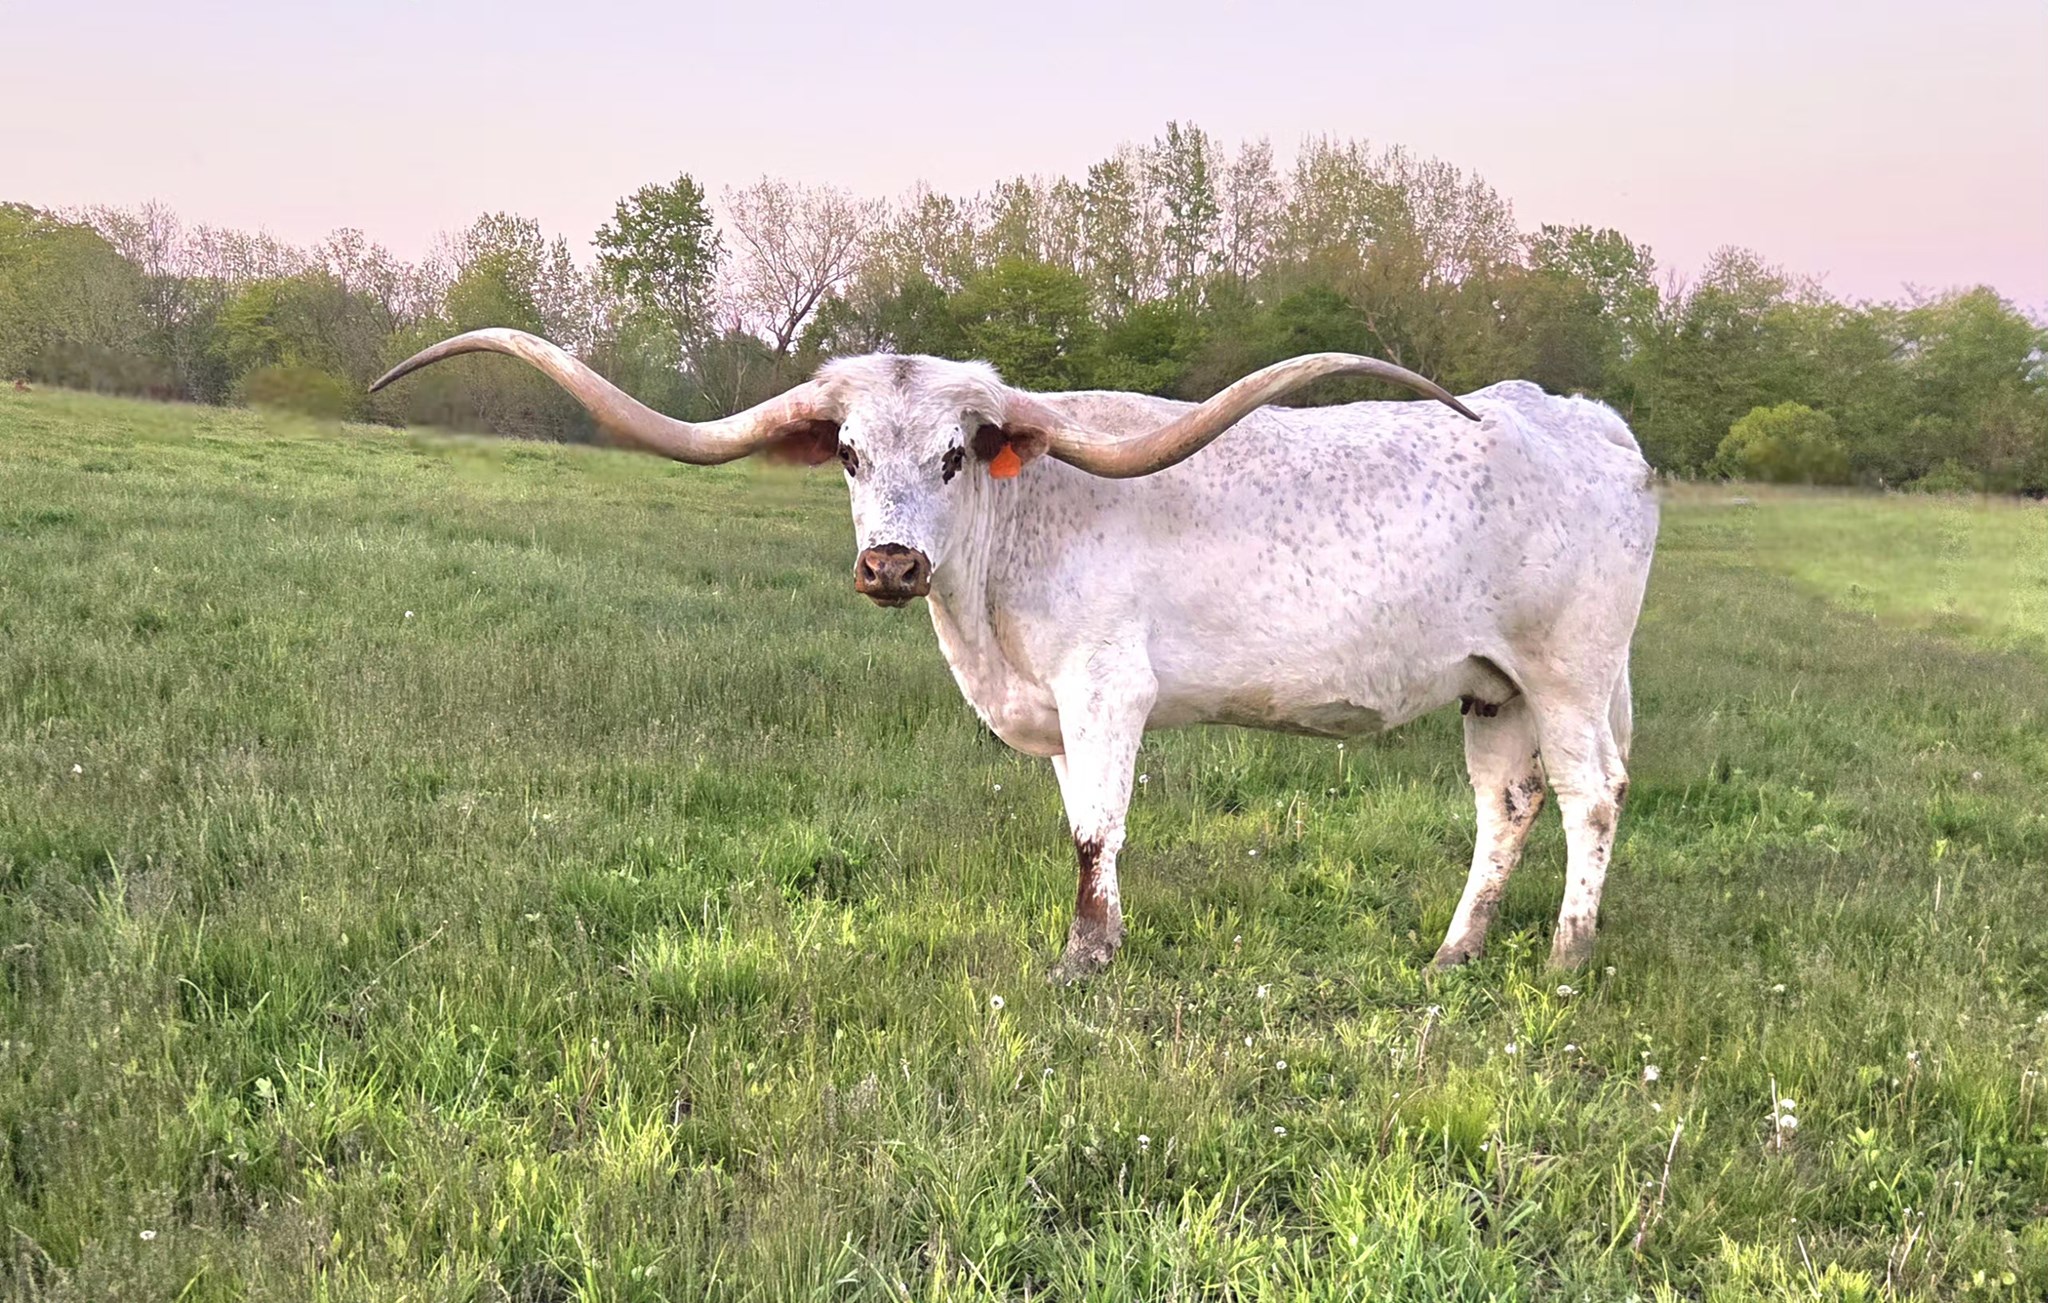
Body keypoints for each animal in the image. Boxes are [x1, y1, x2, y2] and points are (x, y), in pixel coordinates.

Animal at [373, 330, 1658, 980]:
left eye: (954, 454)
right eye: (847, 453)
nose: (891, 564)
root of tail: (1586, 420)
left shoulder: (1105, 687)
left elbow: (1094, 827)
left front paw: (1084, 960)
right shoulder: (1048, 709)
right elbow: (1074, 822)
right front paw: (1098, 940)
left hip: (1568, 672)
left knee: (1591, 795)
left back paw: (1563, 958)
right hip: (1490, 689)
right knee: (1506, 805)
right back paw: (1452, 953)